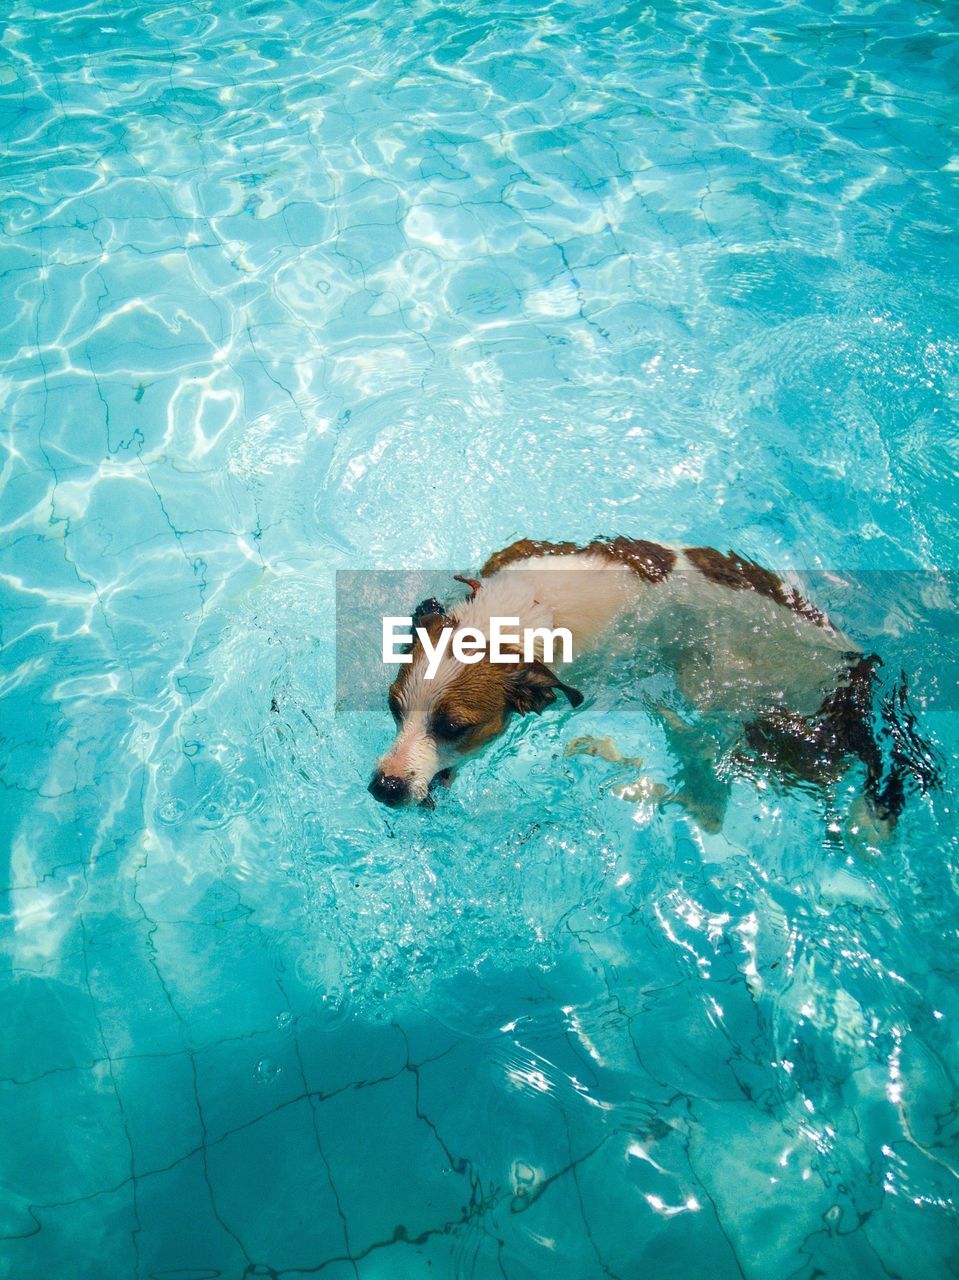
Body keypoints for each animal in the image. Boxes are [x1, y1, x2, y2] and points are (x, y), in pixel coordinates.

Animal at [366, 535, 937, 834]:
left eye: (454, 727)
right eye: (393, 709)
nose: (383, 788)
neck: (520, 613)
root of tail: (855, 676)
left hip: (740, 704)